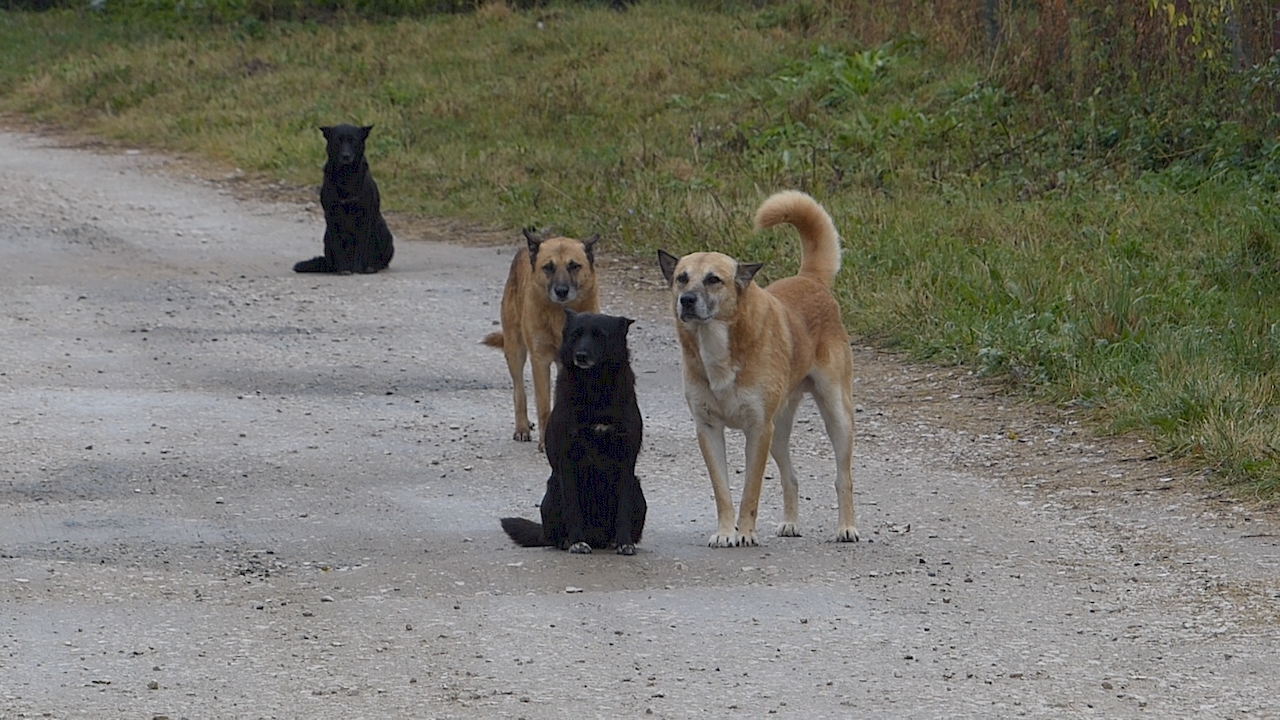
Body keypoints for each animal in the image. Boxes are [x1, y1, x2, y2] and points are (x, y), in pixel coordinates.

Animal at [294, 124, 394, 274]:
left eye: (353, 141)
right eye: (338, 140)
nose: (346, 156)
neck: (345, 176)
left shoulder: (364, 217)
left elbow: (361, 247)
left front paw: (357, 269)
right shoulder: (331, 217)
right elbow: (338, 246)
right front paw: (343, 269)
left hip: (382, 230)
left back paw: (370, 267)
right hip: (327, 237)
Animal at [483, 226, 599, 445]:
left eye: (574, 266)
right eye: (548, 267)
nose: (561, 291)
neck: (561, 316)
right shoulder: (540, 361)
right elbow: (543, 405)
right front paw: (545, 442)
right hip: (515, 352)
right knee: (519, 392)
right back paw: (522, 428)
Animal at [496, 310, 645, 556]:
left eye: (600, 335)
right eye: (576, 335)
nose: (581, 355)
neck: (594, 391)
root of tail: (597, 537)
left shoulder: (626, 463)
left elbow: (623, 509)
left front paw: (624, 542)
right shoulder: (567, 462)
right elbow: (572, 506)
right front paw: (577, 541)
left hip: (637, 490)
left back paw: (613, 540)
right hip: (553, 489)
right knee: (553, 535)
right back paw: (566, 540)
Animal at [660, 190, 860, 543]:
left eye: (714, 279)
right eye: (681, 278)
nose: (687, 300)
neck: (718, 345)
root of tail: (809, 279)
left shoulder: (757, 429)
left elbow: (750, 492)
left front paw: (745, 533)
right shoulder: (708, 429)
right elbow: (723, 491)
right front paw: (726, 532)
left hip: (835, 415)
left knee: (843, 478)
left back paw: (846, 527)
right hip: (779, 431)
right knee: (790, 477)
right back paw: (791, 522)